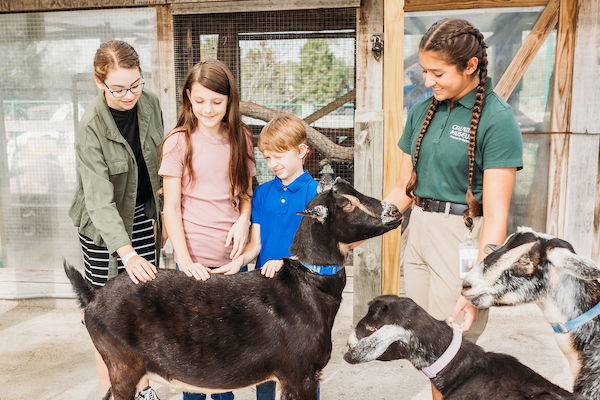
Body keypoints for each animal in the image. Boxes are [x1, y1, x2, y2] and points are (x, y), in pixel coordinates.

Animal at [64, 177, 404, 400]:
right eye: (346, 203)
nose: (395, 211)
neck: (308, 286)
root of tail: (92, 297)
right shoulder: (299, 372)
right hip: (123, 365)